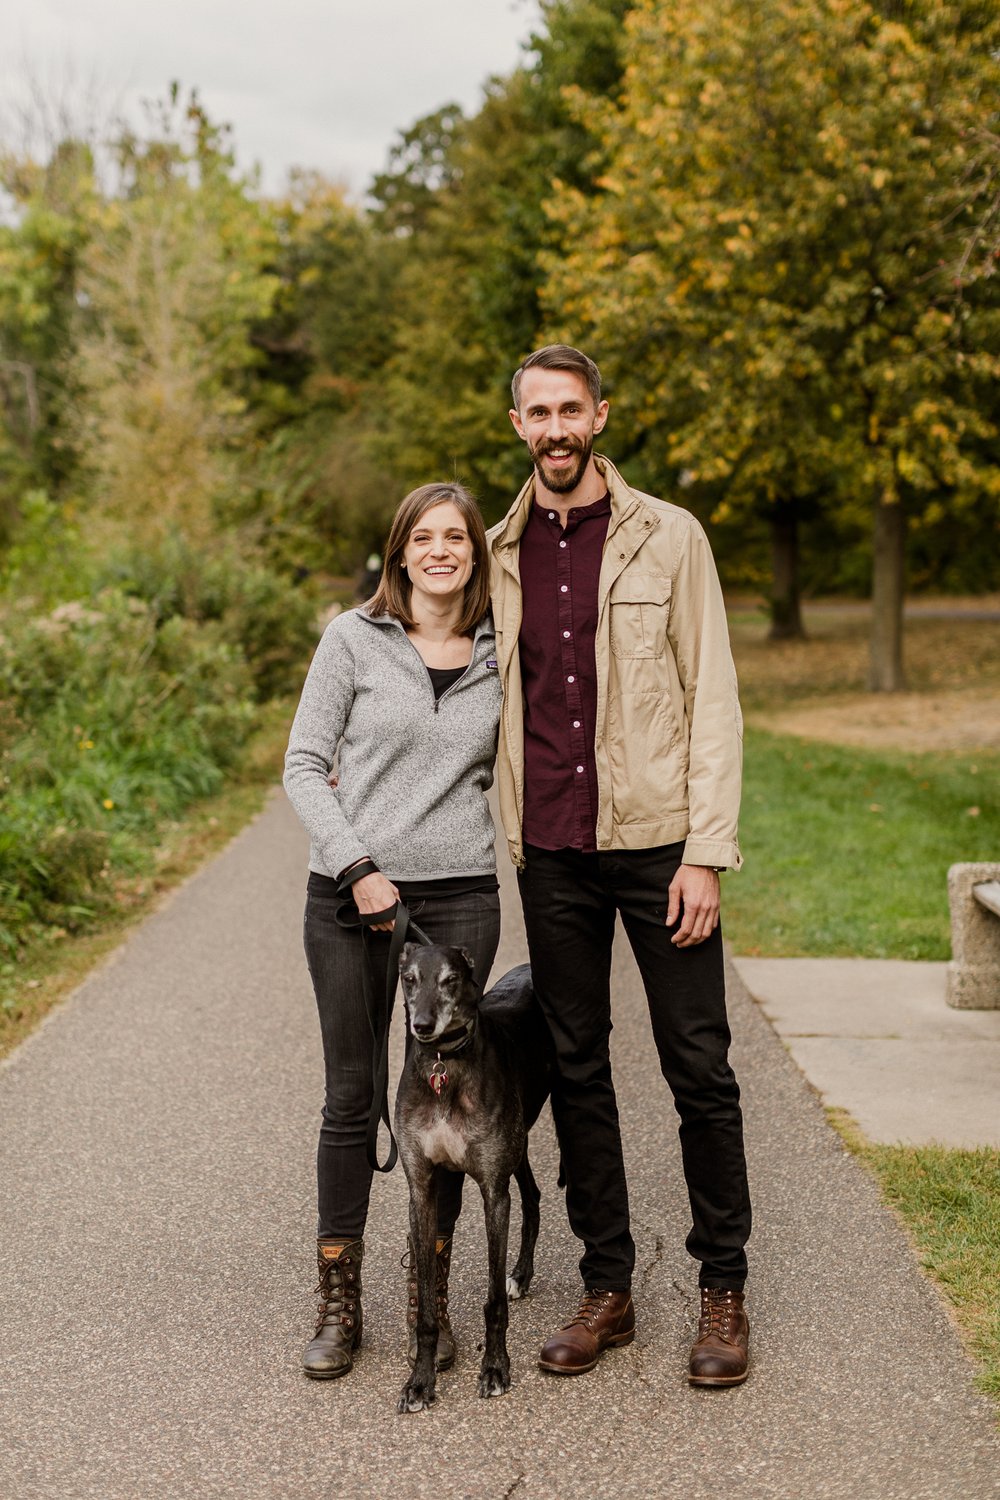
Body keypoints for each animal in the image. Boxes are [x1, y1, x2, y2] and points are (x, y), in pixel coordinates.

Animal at [395, 942, 551, 1410]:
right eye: (408, 978)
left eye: (450, 979)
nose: (422, 1026)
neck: (444, 1064)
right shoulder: (421, 1189)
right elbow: (427, 1307)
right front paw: (420, 1380)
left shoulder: (493, 1191)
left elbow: (494, 1301)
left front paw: (496, 1368)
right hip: (517, 1144)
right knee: (533, 1194)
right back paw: (521, 1274)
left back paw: (518, 1275)